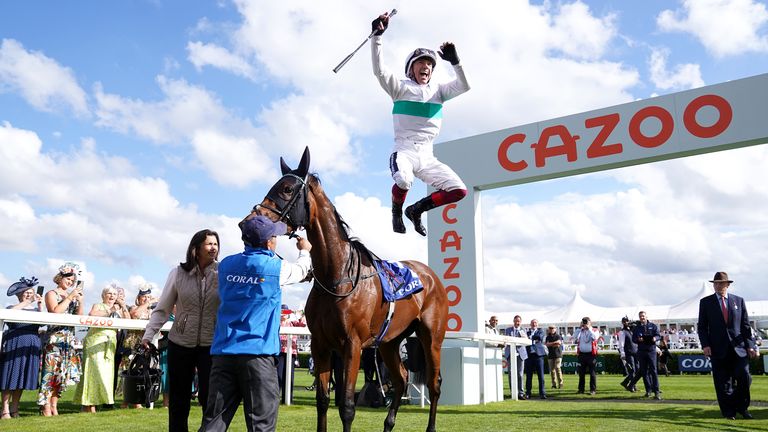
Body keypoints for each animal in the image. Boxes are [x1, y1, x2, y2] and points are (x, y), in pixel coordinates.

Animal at [249, 147, 448, 430]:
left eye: (287, 189)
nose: (252, 219)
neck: (337, 275)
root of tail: (431, 277)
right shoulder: (321, 345)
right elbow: (323, 401)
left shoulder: (352, 346)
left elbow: (346, 406)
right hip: (389, 342)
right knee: (400, 378)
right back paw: (388, 423)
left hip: (431, 337)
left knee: (434, 384)